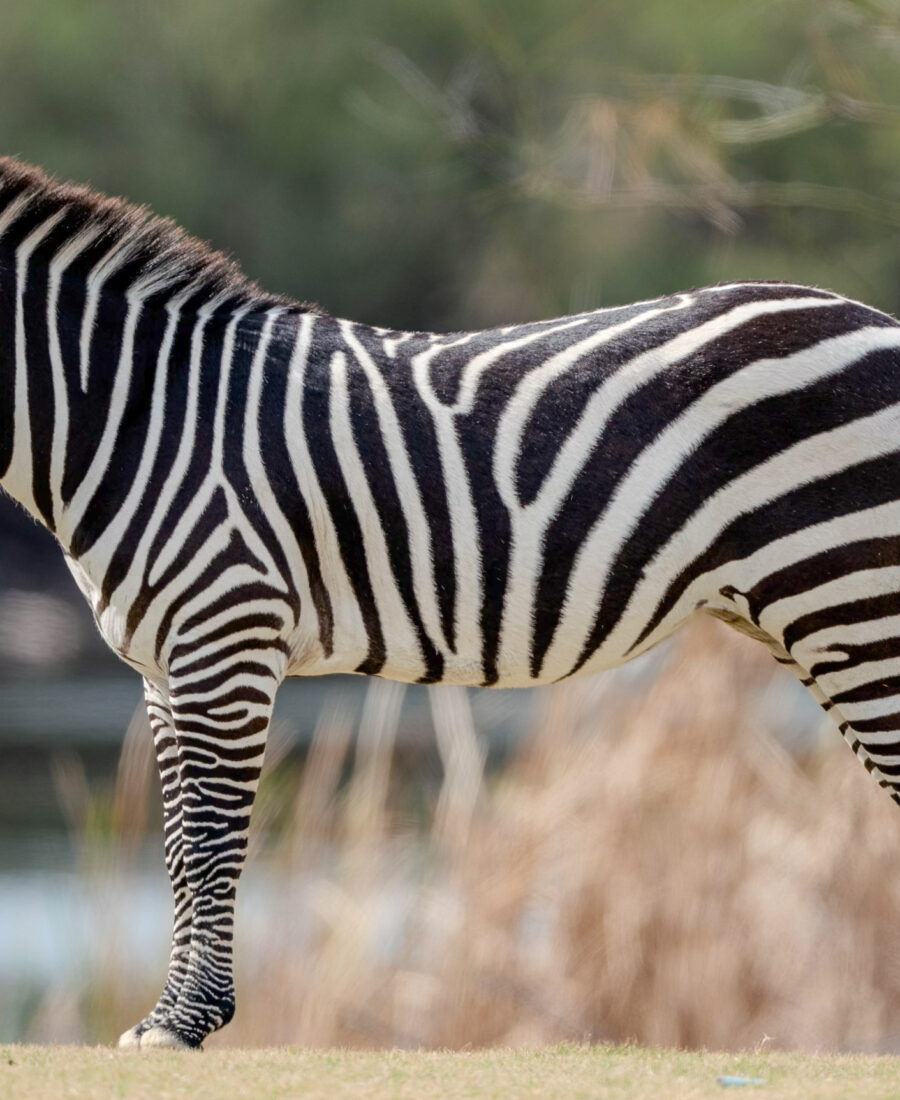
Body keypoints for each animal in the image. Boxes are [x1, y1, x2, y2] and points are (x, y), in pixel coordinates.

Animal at [3, 156, 900, 1050]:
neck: (137, 415)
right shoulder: (164, 666)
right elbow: (179, 849)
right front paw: (172, 1017)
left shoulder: (227, 633)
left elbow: (211, 837)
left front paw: (184, 1022)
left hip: (851, 598)